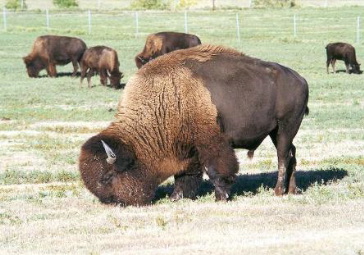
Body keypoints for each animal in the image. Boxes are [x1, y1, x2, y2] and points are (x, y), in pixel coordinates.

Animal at [78, 44, 308, 206]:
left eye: (108, 176)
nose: (112, 202)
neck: (164, 98)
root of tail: (300, 79)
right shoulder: (187, 148)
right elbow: (185, 175)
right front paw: (176, 197)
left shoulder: (211, 142)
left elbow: (217, 169)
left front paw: (221, 197)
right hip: (277, 132)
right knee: (291, 155)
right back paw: (292, 190)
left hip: (286, 127)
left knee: (282, 157)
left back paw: (278, 191)